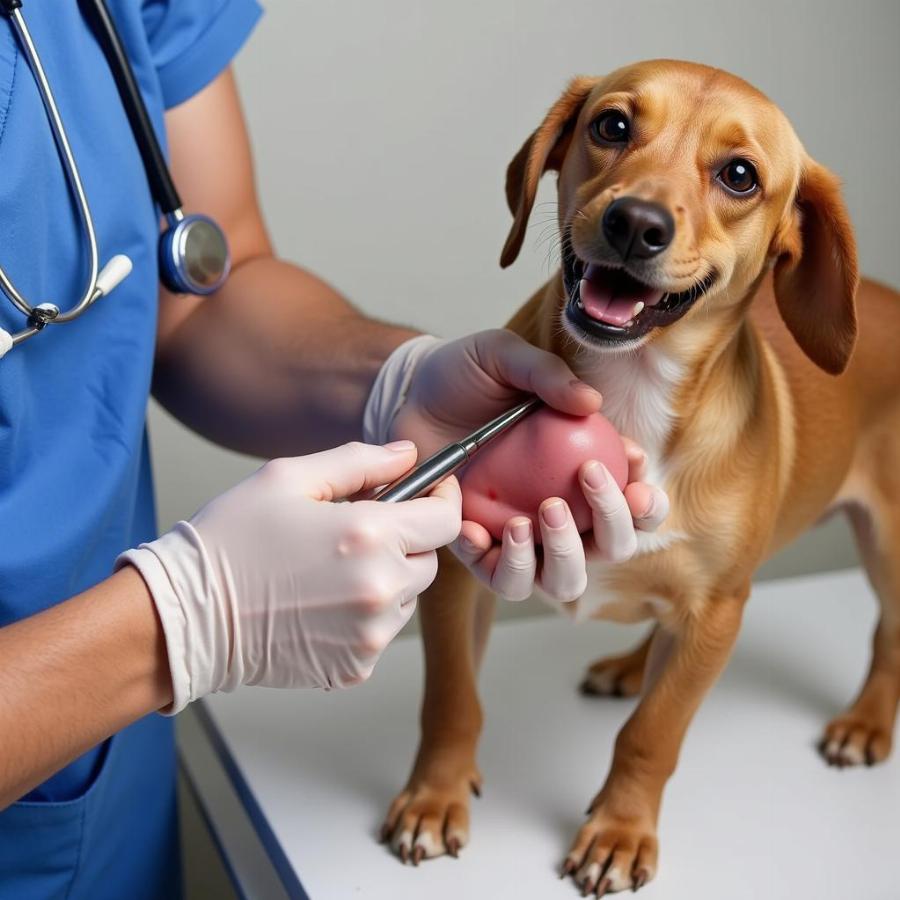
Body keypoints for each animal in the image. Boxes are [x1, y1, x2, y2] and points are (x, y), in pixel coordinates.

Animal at [380, 61, 900, 892]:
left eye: (740, 175)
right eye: (613, 126)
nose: (636, 224)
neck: (632, 388)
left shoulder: (717, 611)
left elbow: (653, 733)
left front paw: (620, 831)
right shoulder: (460, 577)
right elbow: (454, 700)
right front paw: (435, 795)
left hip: (886, 548)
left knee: (887, 633)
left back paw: (866, 721)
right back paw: (632, 664)